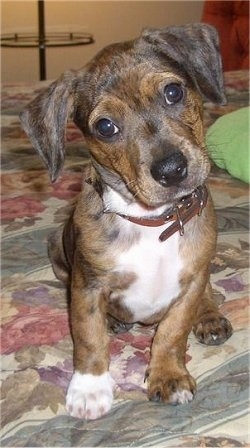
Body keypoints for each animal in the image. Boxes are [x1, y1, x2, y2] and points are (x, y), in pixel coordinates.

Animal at [20, 23, 233, 420]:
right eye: (105, 127)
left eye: (173, 92)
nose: (172, 169)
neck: (152, 221)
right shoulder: (86, 286)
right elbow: (88, 337)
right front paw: (90, 388)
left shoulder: (192, 279)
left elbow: (172, 332)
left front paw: (168, 374)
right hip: (57, 247)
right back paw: (114, 320)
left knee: (208, 293)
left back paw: (210, 316)